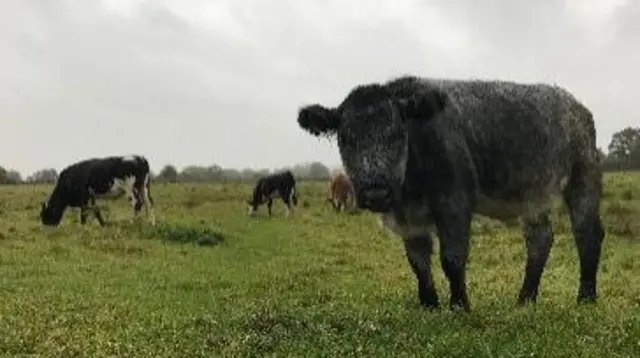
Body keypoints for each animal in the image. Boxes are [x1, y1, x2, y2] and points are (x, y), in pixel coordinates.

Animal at [296, 75, 604, 310]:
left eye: (397, 134)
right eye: (345, 138)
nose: (376, 193)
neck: (411, 188)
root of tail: (577, 106)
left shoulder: (454, 201)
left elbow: (452, 257)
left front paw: (459, 305)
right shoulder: (408, 218)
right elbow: (418, 261)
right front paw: (429, 304)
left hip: (583, 176)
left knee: (587, 233)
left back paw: (586, 298)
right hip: (532, 195)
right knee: (540, 239)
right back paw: (525, 300)